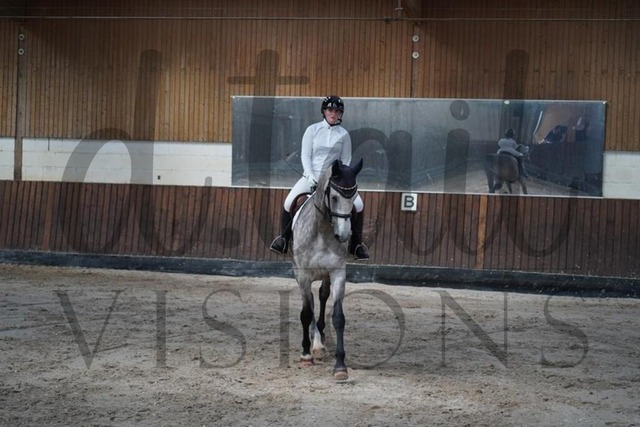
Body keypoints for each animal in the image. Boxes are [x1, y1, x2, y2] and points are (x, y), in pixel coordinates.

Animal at [290, 158, 363, 381]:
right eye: (334, 197)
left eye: (353, 197)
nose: (344, 235)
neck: (322, 231)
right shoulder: (304, 275)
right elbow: (306, 313)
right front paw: (306, 354)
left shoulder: (338, 273)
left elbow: (338, 317)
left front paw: (340, 366)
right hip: (299, 275)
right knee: (310, 303)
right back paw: (315, 345)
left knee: (321, 296)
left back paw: (320, 339)